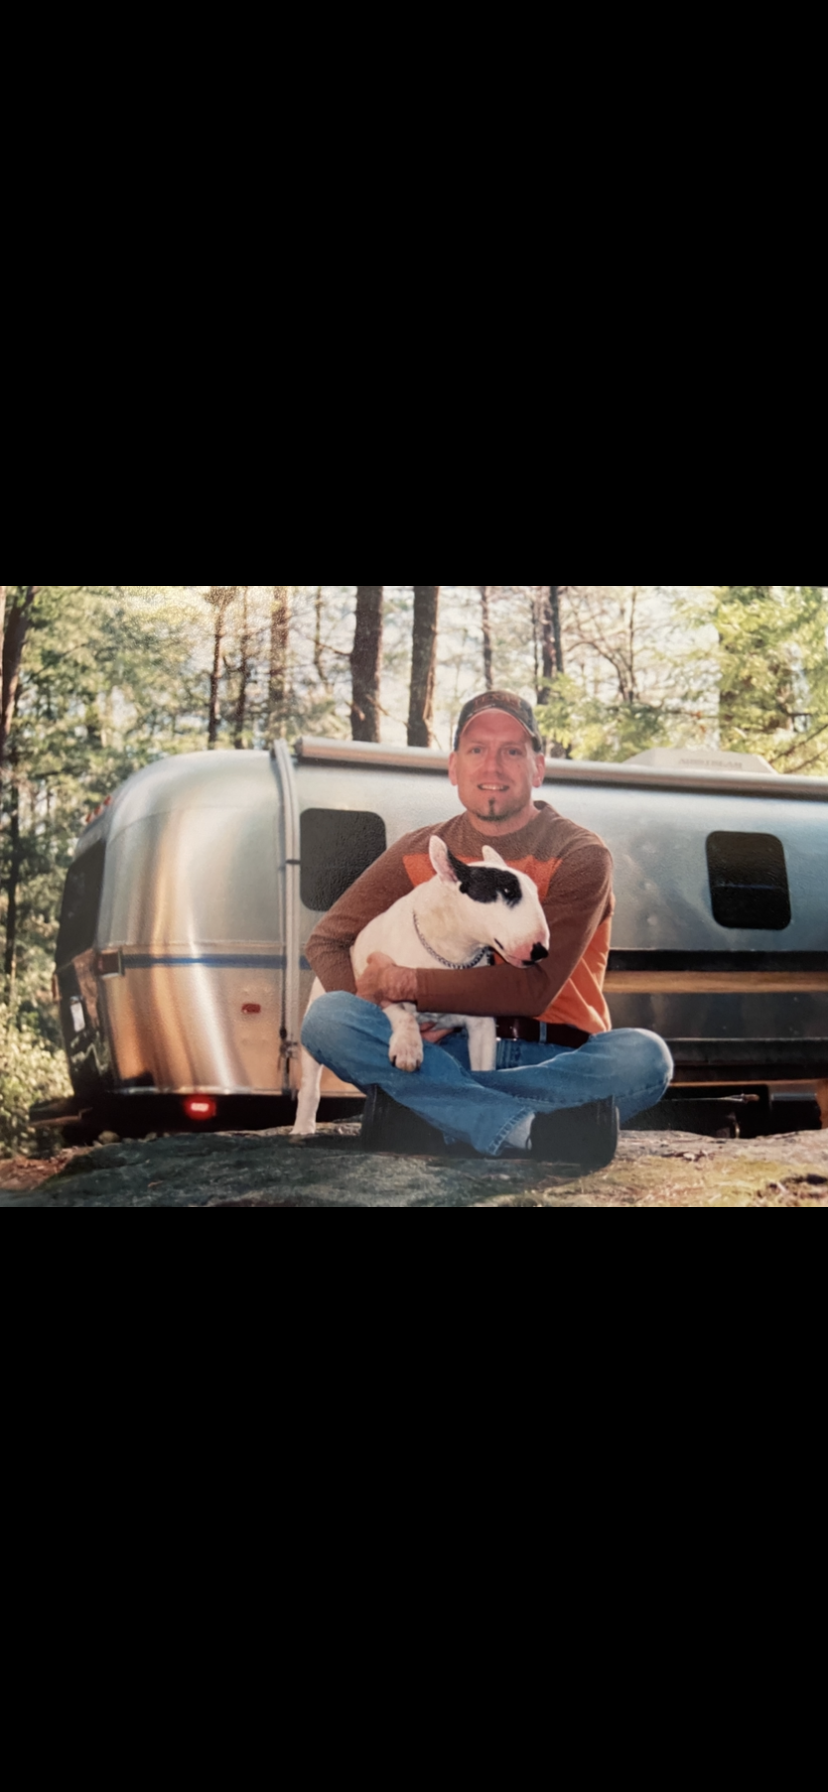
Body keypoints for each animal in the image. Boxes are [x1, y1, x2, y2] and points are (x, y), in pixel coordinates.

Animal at [293, 836, 550, 1137]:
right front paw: (408, 1050)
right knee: (310, 1083)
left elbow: (482, 1069)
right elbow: (403, 1014)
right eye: (508, 892)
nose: (540, 951)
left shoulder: (482, 1024)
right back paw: (303, 1127)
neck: (451, 954)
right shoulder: (384, 982)